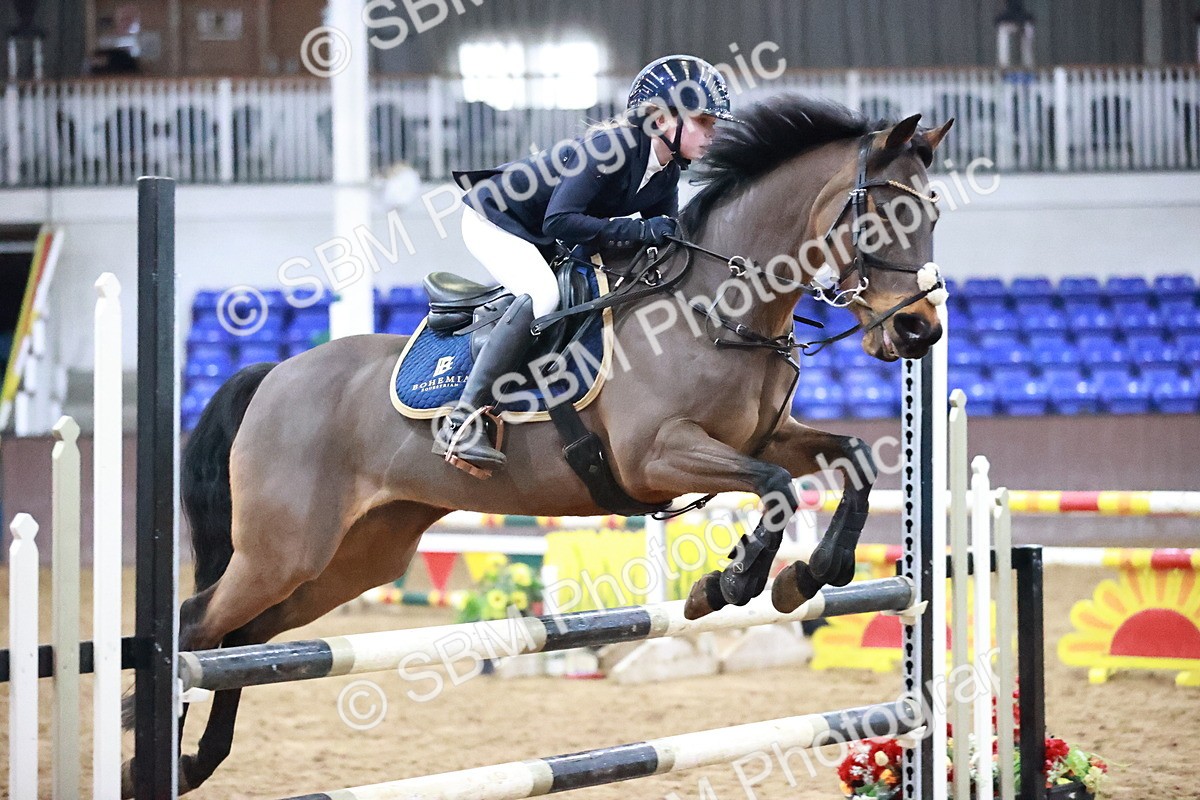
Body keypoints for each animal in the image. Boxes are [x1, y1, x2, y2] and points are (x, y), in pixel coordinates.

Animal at [120, 94, 953, 795]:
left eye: (933, 216)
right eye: (880, 213)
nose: (921, 329)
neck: (717, 304)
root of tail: (272, 375)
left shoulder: (766, 436)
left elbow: (846, 459)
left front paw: (808, 575)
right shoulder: (656, 456)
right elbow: (775, 490)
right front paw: (733, 583)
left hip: (350, 558)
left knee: (245, 639)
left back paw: (198, 760)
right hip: (284, 548)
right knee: (199, 623)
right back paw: (145, 748)